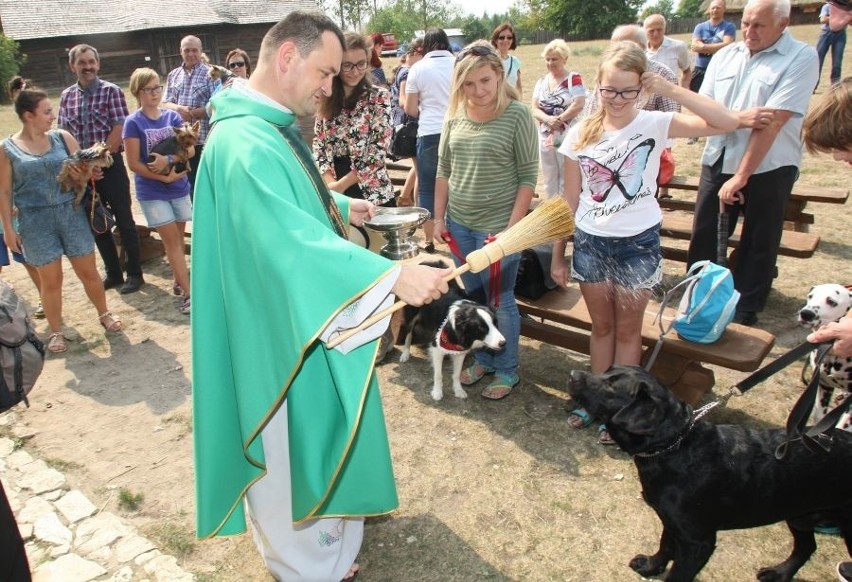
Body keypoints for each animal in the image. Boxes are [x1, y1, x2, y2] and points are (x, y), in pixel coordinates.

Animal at [564, 368, 852, 580]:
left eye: (612, 386)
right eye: (607, 372)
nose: (573, 373)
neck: (676, 447)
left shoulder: (698, 542)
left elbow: (678, 575)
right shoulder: (672, 522)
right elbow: (665, 545)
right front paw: (650, 566)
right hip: (799, 514)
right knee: (807, 547)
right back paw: (779, 573)